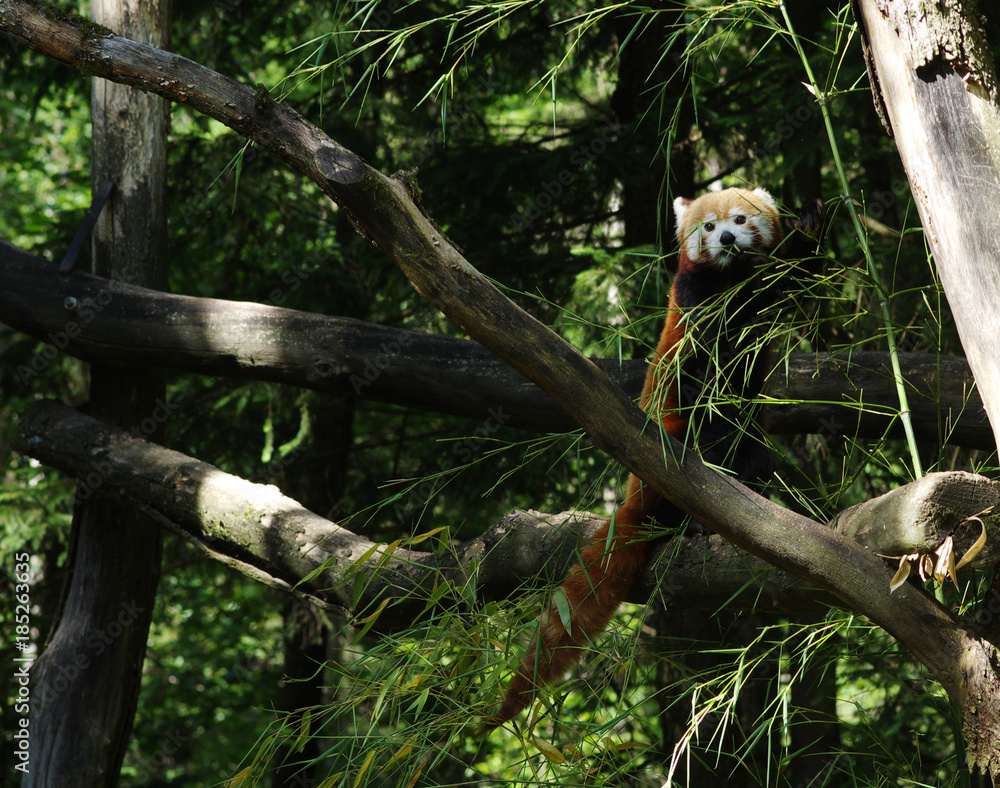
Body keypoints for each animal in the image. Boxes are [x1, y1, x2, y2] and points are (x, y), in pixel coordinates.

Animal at [486, 188, 820, 728]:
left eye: (739, 220)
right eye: (708, 228)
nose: (727, 240)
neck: (731, 281)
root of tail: (638, 491)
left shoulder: (767, 294)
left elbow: (799, 284)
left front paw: (808, 227)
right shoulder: (692, 302)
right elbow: (706, 349)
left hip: (749, 436)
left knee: (751, 452)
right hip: (672, 443)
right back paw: (697, 520)